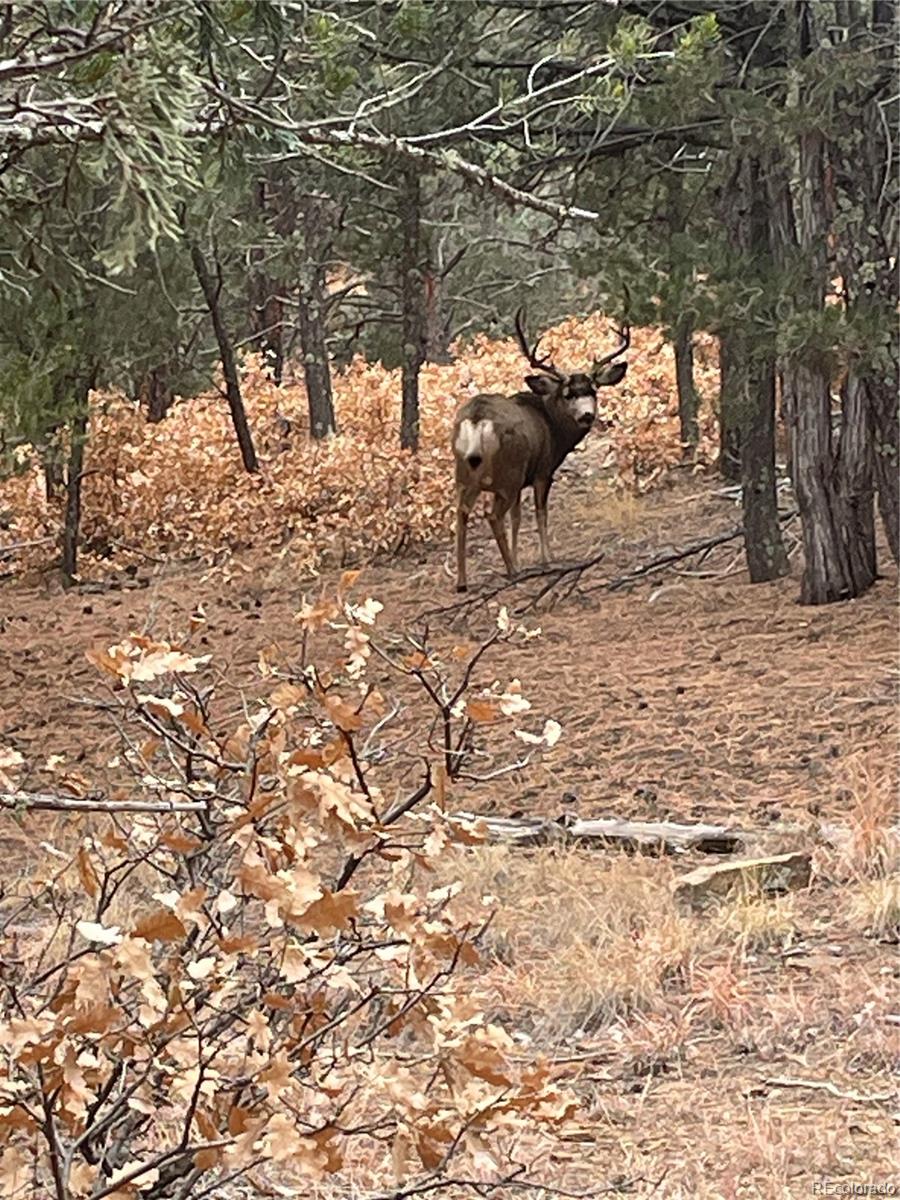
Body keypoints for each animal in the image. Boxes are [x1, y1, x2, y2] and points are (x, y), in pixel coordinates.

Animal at [453, 309, 628, 590]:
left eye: (594, 390)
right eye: (568, 394)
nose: (587, 416)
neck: (552, 426)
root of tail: (477, 419)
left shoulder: (523, 482)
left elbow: (516, 518)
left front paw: (520, 557)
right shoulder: (543, 472)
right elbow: (540, 513)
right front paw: (546, 559)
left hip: (466, 474)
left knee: (462, 513)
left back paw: (462, 581)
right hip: (508, 473)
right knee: (493, 516)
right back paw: (512, 572)